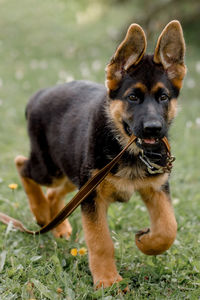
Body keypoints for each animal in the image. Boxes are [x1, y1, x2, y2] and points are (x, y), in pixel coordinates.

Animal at [15, 19, 186, 288]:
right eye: (133, 97)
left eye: (163, 97)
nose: (153, 129)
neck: (126, 147)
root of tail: (39, 95)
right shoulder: (93, 197)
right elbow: (100, 241)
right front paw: (107, 279)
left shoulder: (156, 188)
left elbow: (169, 228)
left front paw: (146, 242)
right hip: (53, 168)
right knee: (22, 165)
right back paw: (41, 213)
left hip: (74, 173)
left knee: (54, 192)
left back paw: (58, 226)